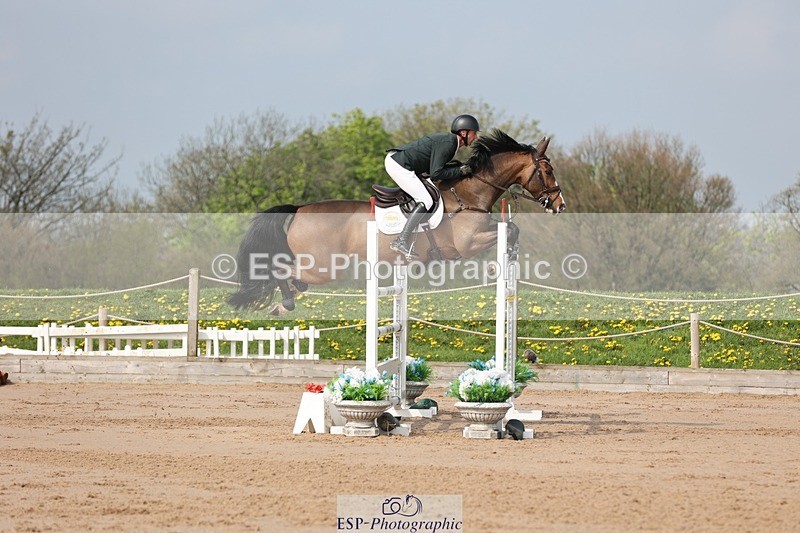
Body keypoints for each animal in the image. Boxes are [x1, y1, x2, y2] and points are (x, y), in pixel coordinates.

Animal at [228, 129, 565, 312]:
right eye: (548, 170)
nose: (560, 205)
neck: (469, 193)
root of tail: (299, 209)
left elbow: (512, 229)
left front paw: (510, 257)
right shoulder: (467, 244)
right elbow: (509, 229)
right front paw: (498, 265)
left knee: (291, 275)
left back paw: (285, 299)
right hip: (323, 266)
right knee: (279, 270)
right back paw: (284, 303)